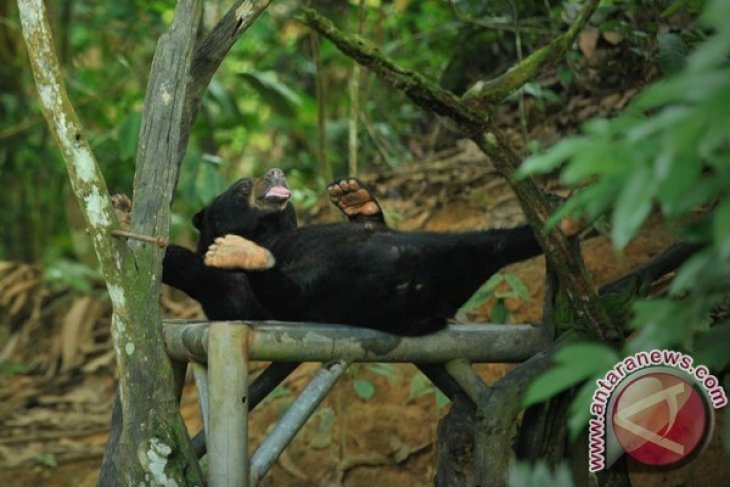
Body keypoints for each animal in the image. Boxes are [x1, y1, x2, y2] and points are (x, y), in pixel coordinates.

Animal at [162, 170, 556, 338]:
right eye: (243, 187)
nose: (276, 171)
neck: (267, 232)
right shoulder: (235, 299)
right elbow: (226, 292)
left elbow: (367, 221)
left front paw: (354, 196)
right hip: (330, 296)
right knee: (287, 291)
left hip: (452, 248)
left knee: (499, 243)